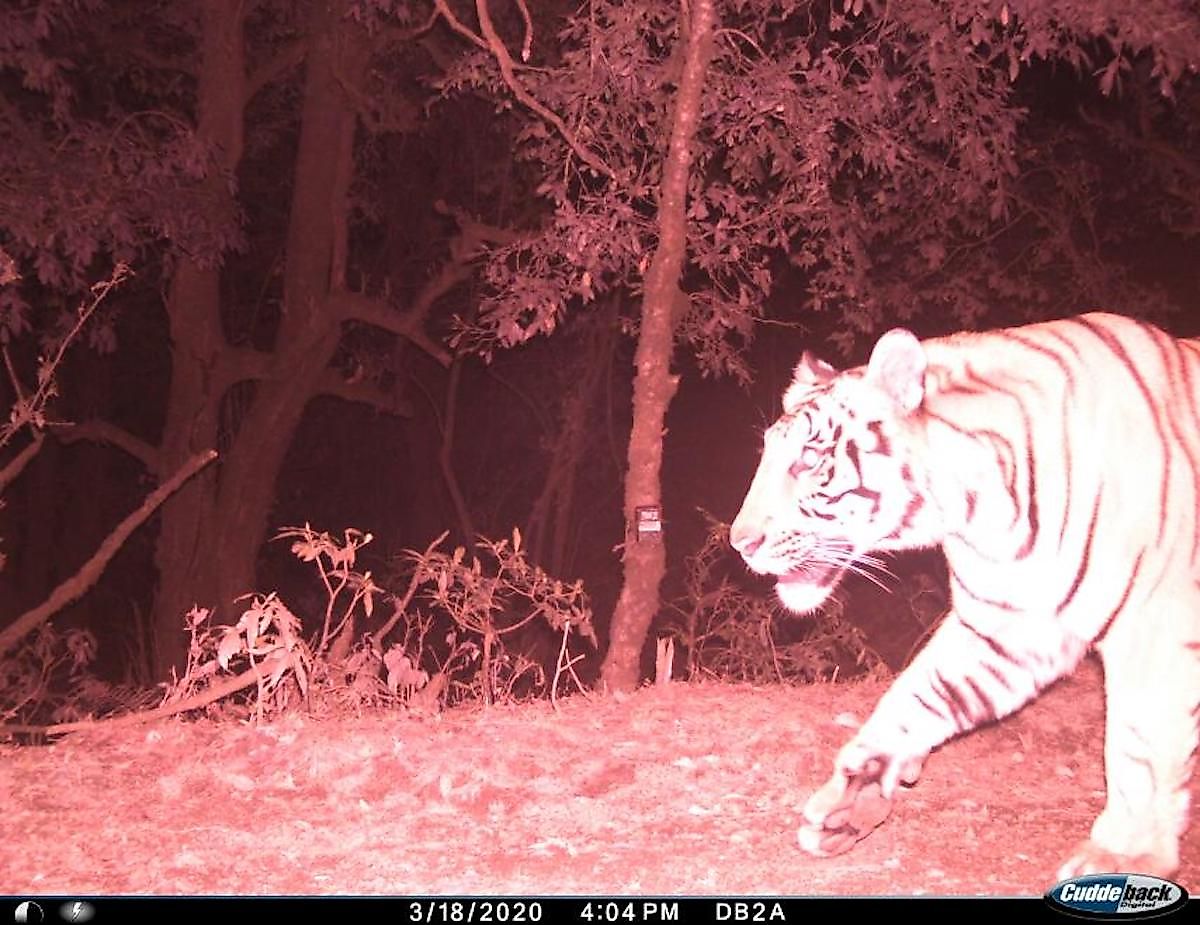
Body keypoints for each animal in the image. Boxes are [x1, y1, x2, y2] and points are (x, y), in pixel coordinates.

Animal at [724, 311, 1200, 883]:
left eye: (811, 460)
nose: (739, 542)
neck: (981, 510)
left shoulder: (1153, 625)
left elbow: (1138, 745)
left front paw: (1125, 853)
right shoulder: (1009, 627)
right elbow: (916, 695)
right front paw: (853, 800)